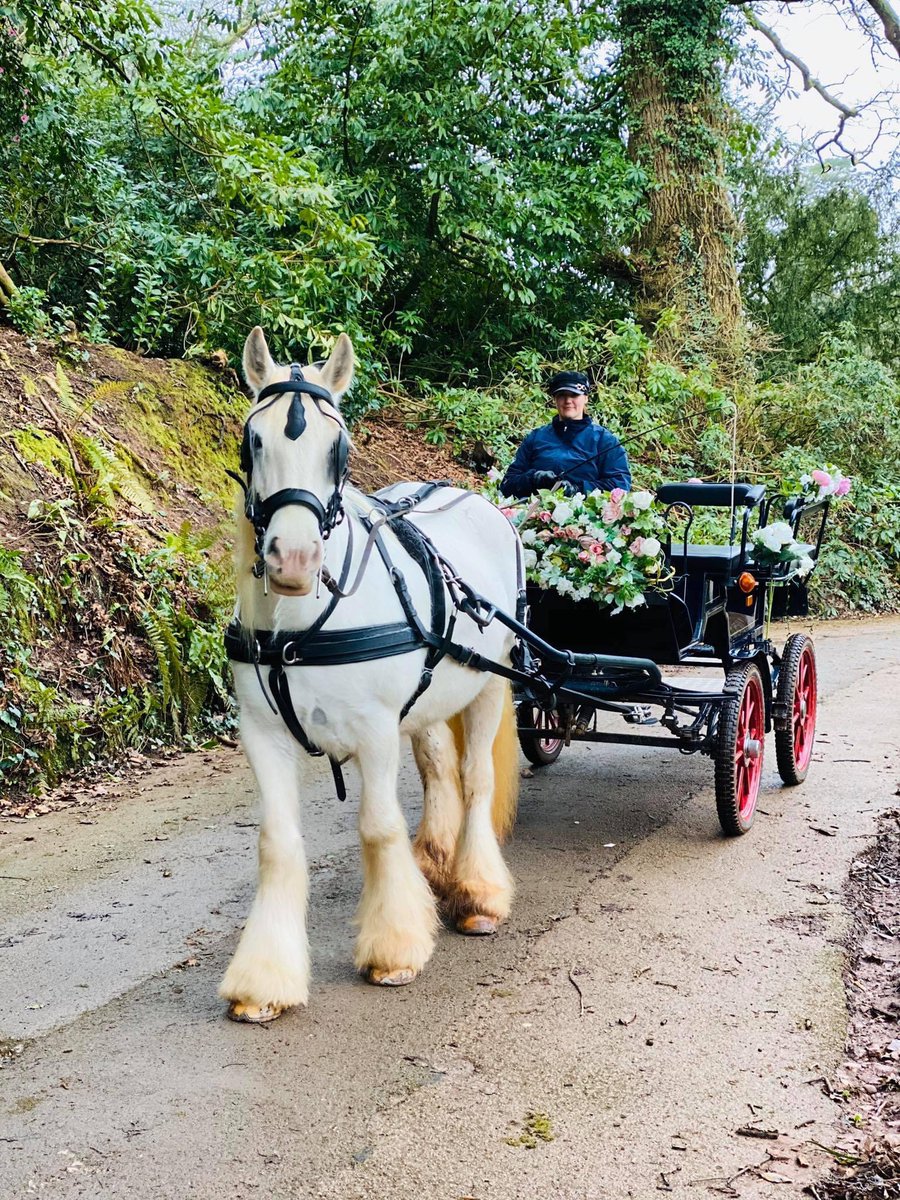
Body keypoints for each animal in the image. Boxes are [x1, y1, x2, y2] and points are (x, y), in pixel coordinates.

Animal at [219, 326, 523, 1022]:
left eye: (339, 447)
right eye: (255, 439)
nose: (295, 559)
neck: (299, 629)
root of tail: (475, 498)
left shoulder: (376, 732)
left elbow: (378, 827)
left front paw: (394, 948)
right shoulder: (263, 736)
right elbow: (276, 842)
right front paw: (264, 980)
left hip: (490, 683)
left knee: (475, 779)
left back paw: (478, 893)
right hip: (431, 697)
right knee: (438, 769)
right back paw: (433, 864)